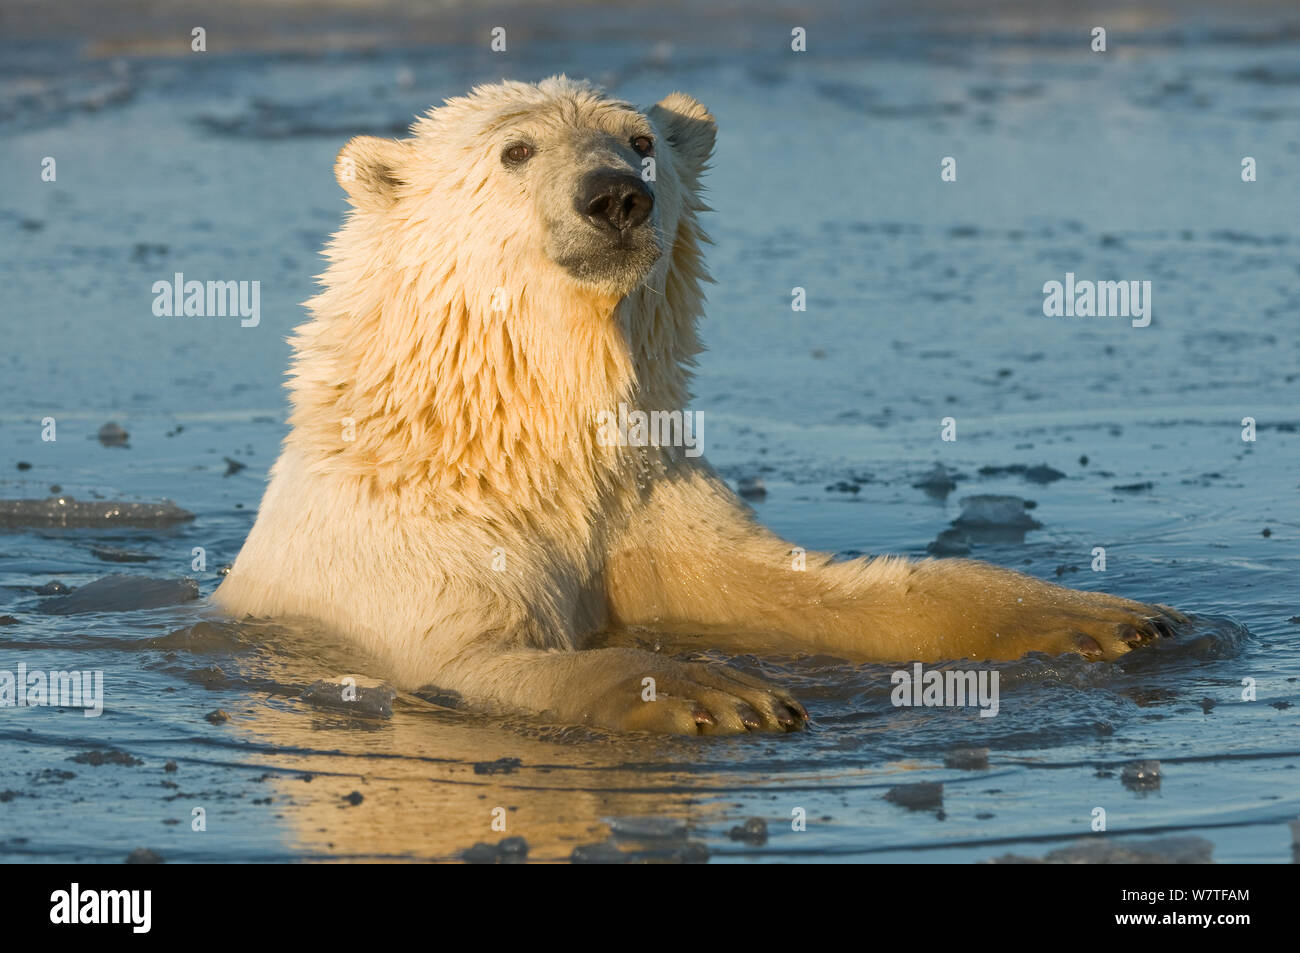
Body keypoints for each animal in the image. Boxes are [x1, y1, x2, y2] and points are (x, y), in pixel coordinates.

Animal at [215, 78, 1190, 738]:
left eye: (641, 138)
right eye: (515, 151)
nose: (615, 196)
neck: (529, 439)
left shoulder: (649, 499)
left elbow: (815, 586)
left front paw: (1117, 615)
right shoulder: (411, 545)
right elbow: (473, 656)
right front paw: (721, 693)